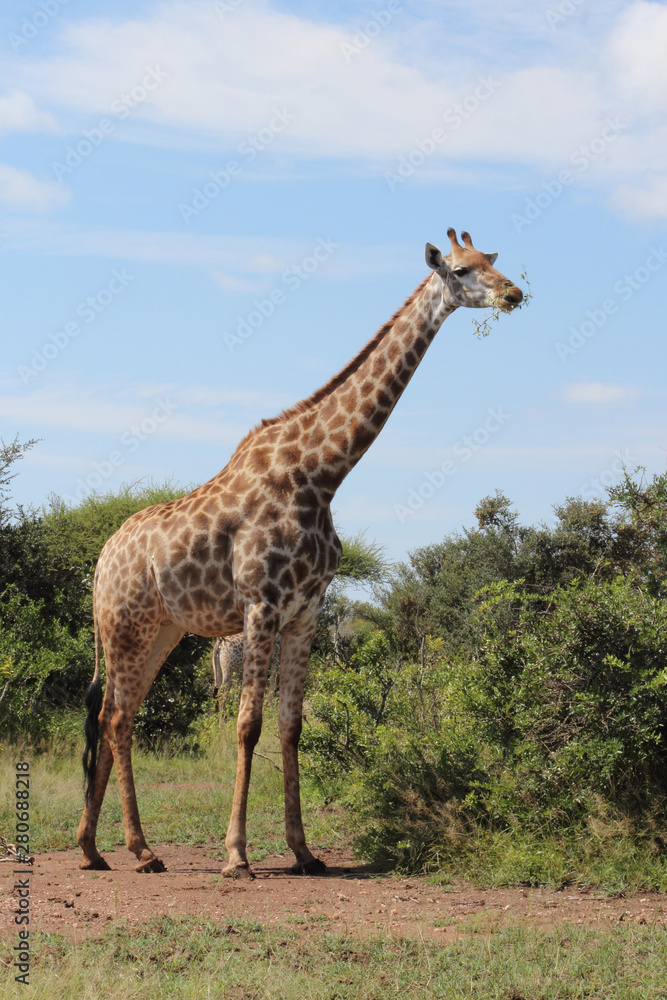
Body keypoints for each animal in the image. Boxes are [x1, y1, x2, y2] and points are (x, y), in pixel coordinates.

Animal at [77, 228, 523, 878]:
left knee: (119, 714)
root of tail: (100, 562)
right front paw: (236, 855)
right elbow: (249, 725)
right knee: (114, 717)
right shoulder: (261, 605)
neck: (322, 474)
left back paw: (96, 848)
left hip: (161, 630)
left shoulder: (306, 612)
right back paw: (139, 848)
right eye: (463, 270)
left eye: (493, 260)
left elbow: (291, 726)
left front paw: (304, 850)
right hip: (126, 626)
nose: (515, 293)